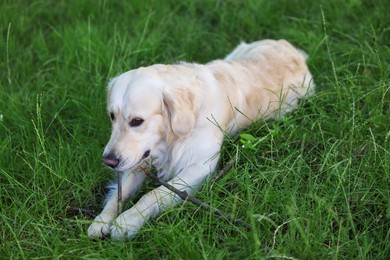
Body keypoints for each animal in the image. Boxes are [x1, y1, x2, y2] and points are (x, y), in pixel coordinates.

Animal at [87, 39, 314, 240]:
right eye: (112, 116)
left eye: (137, 121)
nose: (108, 161)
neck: (171, 139)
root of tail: (292, 49)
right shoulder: (140, 159)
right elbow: (119, 193)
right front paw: (102, 220)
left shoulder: (199, 167)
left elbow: (154, 193)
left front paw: (128, 221)